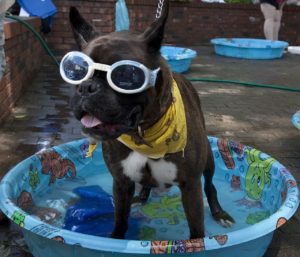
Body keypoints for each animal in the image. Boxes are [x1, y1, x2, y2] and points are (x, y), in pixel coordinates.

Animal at [68, 1, 234, 239]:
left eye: (125, 75)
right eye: (77, 71)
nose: (86, 87)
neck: (143, 133)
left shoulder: (190, 186)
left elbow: (196, 231)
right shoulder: (121, 183)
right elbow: (120, 220)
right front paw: (116, 237)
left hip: (209, 161)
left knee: (210, 186)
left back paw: (219, 213)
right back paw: (142, 197)